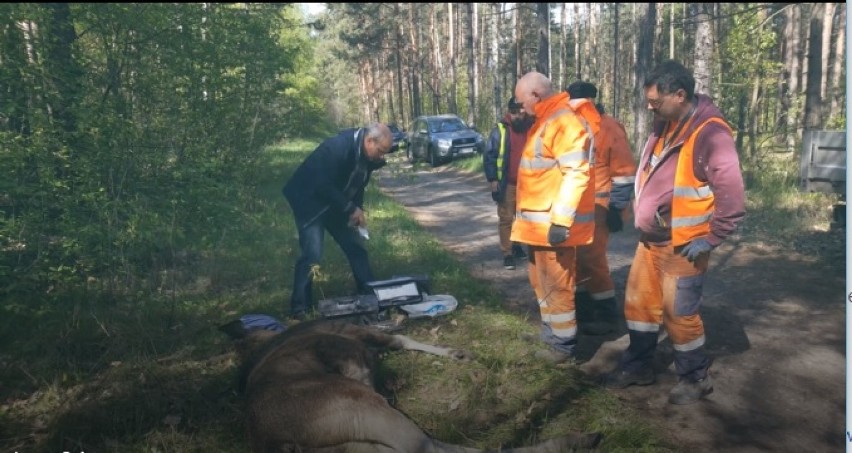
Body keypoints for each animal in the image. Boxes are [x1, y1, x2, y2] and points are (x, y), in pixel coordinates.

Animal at [223, 318, 604, 452]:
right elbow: (398, 338)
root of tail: (278, 442)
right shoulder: (353, 338)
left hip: (357, 443)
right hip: (368, 410)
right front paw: (459, 353)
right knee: (432, 446)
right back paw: (578, 438)